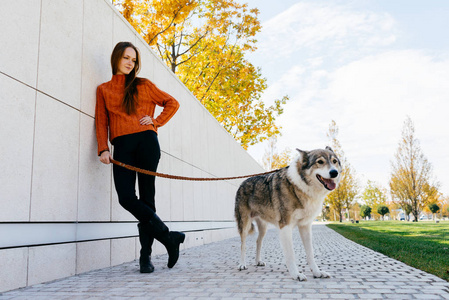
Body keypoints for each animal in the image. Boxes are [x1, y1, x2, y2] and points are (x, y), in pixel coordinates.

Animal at [234, 146, 340, 280]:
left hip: (263, 228)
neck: (299, 186)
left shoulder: (305, 226)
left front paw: (317, 272)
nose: (334, 172)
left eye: (334, 161)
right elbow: (291, 255)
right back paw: (242, 264)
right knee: (243, 244)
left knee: (258, 242)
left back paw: (258, 261)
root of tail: (243, 182)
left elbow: (310, 254)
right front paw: (296, 274)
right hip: (245, 224)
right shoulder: (285, 226)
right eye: (320, 162)